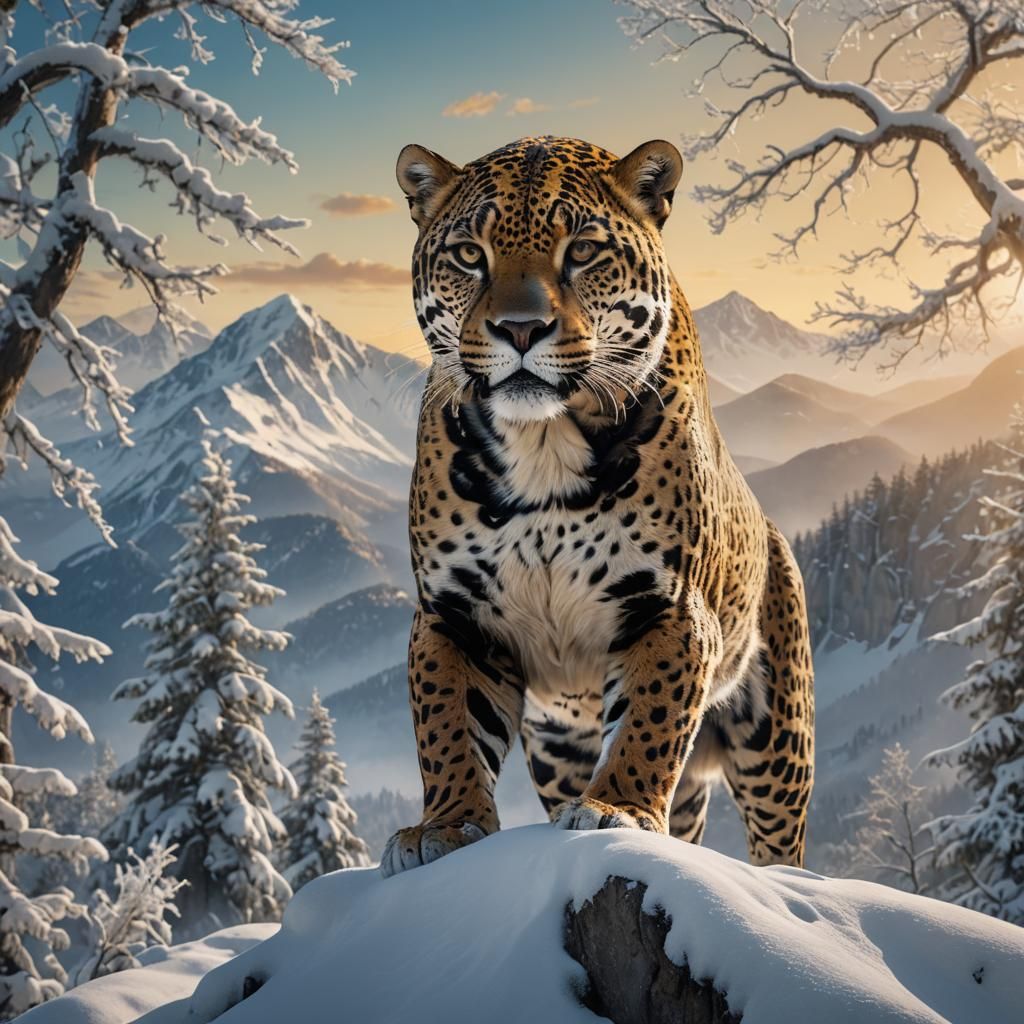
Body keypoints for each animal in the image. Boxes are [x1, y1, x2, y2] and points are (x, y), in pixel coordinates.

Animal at [380, 136, 814, 878]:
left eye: (581, 250)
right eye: (469, 253)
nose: (520, 329)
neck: (543, 447)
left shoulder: (668, 609)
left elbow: (648, 721)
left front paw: (618, 810)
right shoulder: (454, 614)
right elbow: (446, 728)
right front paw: (445, 825)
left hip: (777, 742)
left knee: (779, 839)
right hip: (559, 744)